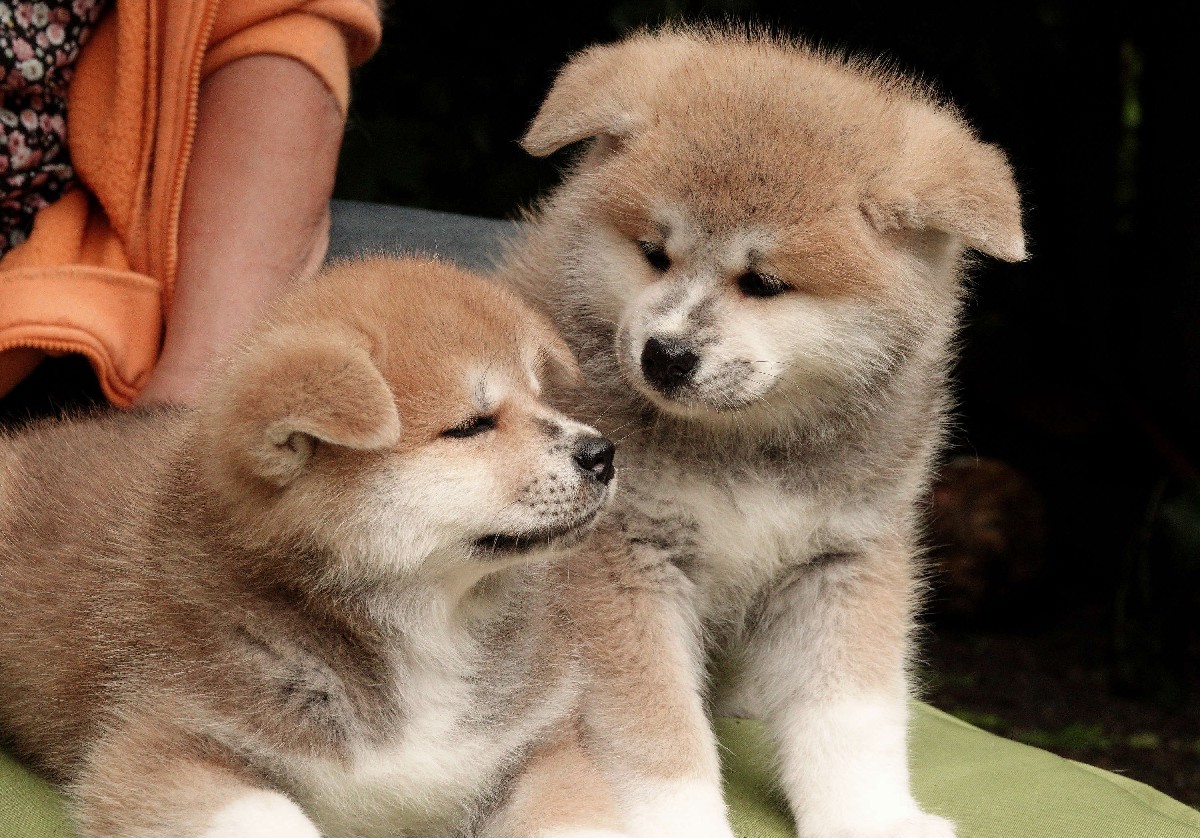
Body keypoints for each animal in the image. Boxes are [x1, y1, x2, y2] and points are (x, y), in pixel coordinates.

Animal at [0, 256, 622, 837]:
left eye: (541, 399)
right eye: (471, 426)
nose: (603, 453)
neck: (428, 636)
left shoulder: (536, 749)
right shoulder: (158, 744)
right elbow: (276, 815)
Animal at [497, 25, 1026, 838]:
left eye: (766, 283)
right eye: (654, 254)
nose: (665, 355)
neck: (744, 446)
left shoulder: (844, 560)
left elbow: (850, 721)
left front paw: (870, 816)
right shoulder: (622, 565)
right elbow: (659, 735)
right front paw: (680, 823)